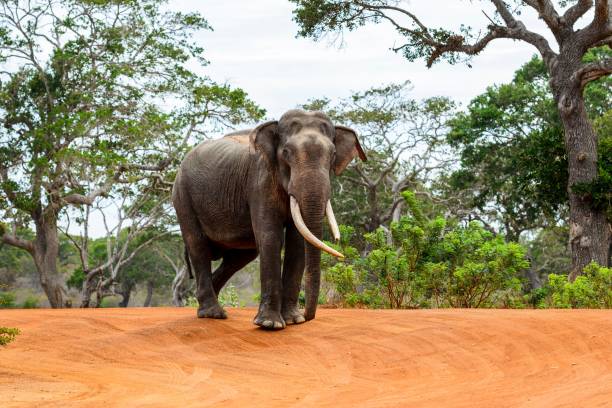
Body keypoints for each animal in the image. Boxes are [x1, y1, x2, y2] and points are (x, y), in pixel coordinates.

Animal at [170, 110, 366, 330]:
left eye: (332, 154)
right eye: (287, 152)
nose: (307, 316)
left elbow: (297, 242)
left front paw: (293, 320)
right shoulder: (260, 181)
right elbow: (270, 237)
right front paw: (270, 324)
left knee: (242, 256)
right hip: (183, 196)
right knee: (197, 245)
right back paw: (213, 314)